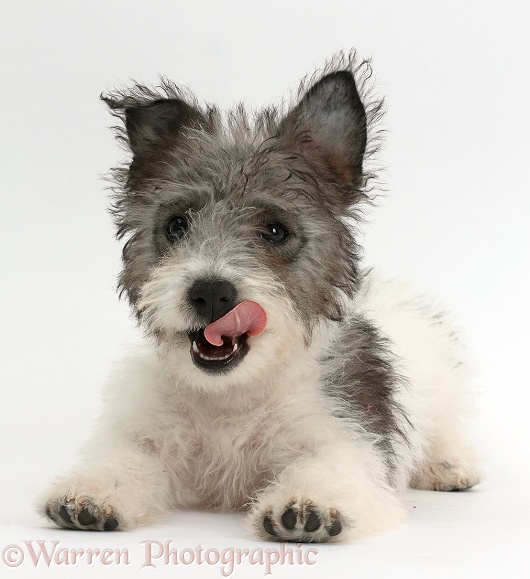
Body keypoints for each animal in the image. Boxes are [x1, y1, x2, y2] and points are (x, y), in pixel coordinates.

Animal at [37, 52, 480, 540]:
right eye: (177, 225)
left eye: (275, 231)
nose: (211, 294)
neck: (234, 394)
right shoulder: (149, 435)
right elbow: (126, 459)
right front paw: (91, 493)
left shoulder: (346, 432)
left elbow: (331, 466)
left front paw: (308, 504)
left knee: (448, 428)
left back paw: (448, 466)